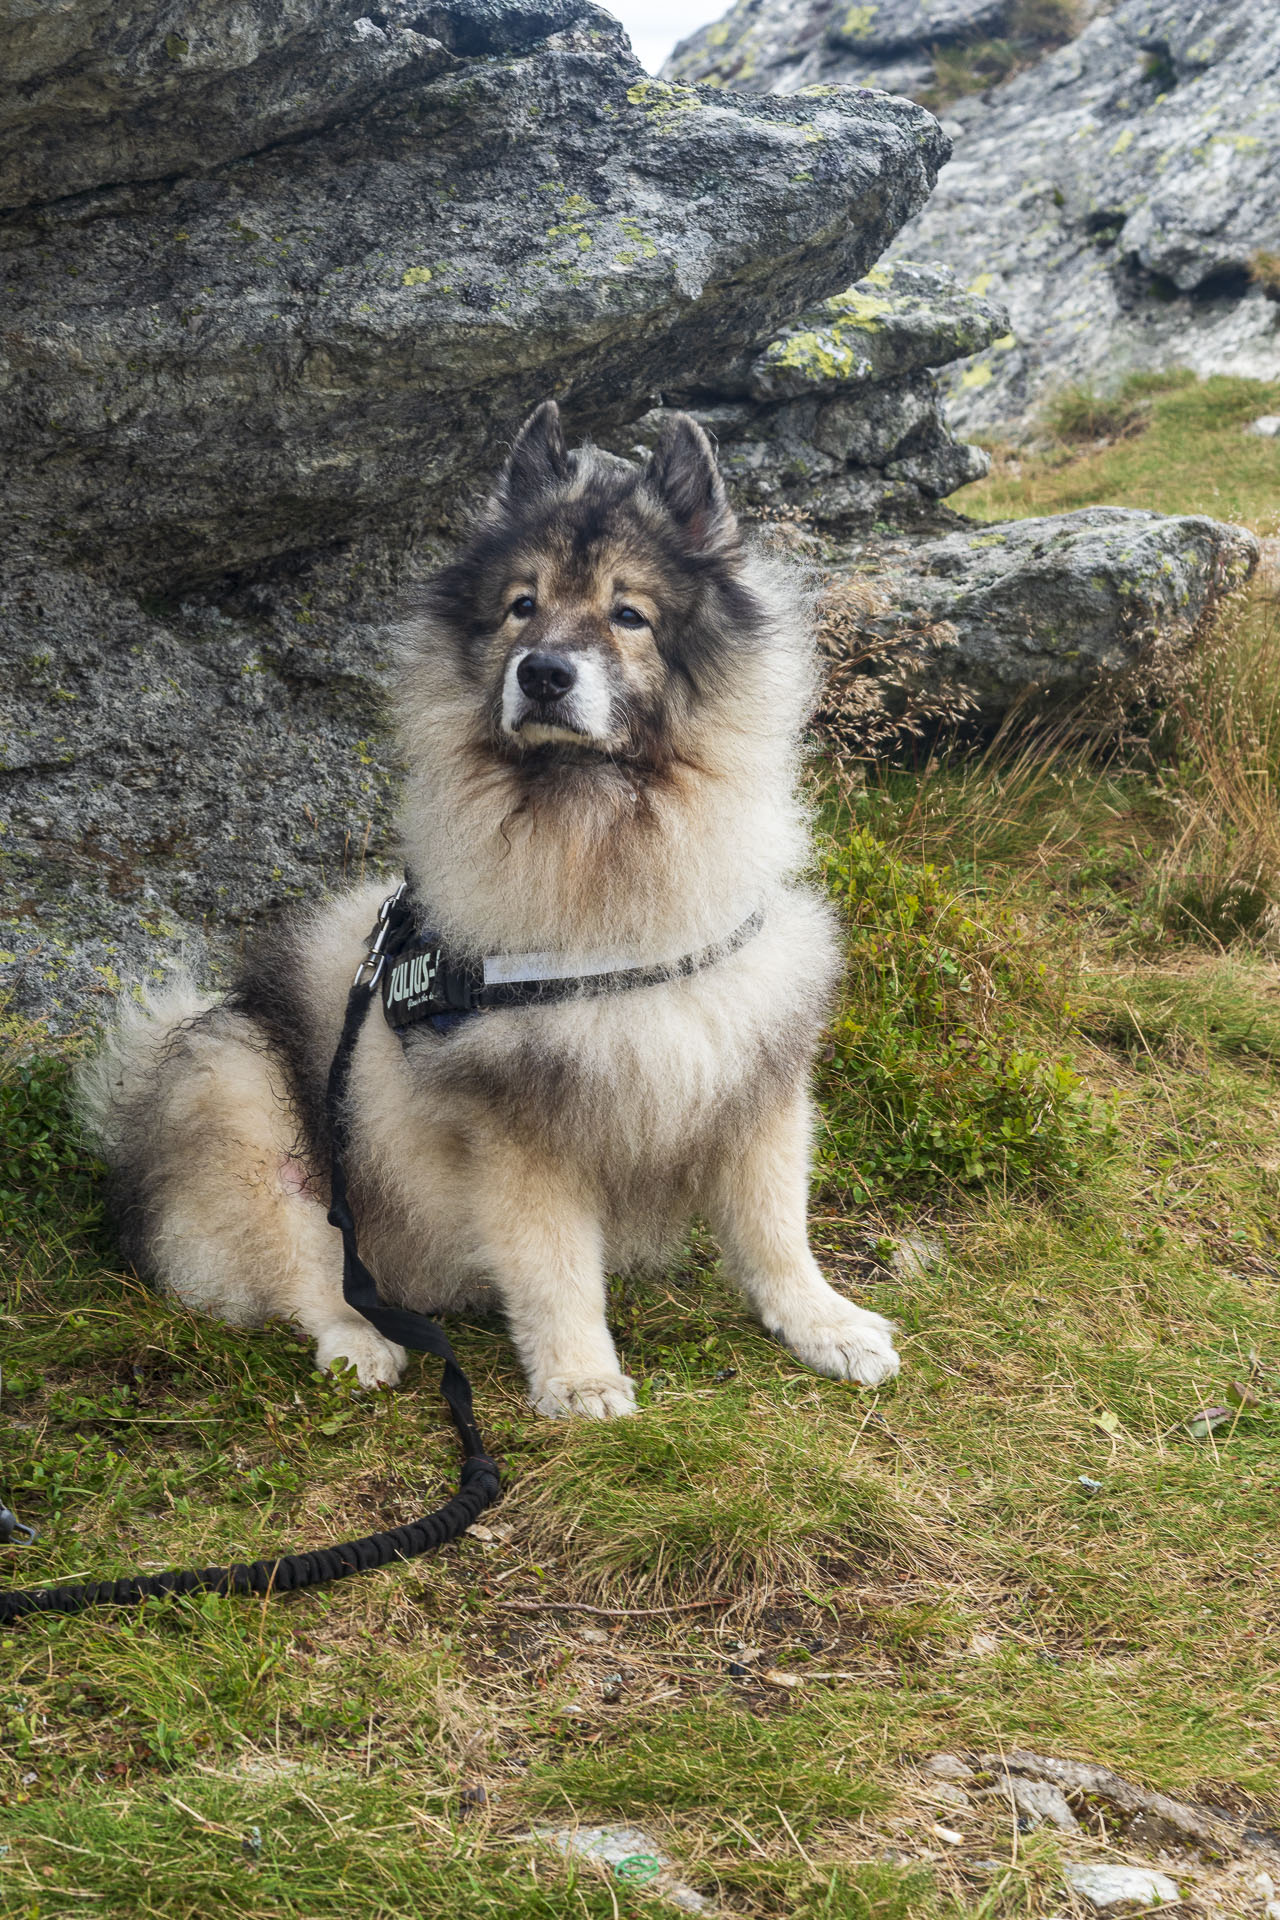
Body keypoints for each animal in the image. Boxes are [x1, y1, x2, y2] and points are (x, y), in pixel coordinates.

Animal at [77, 401, 901, 1413]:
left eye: (628, 613)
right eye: (522, 605)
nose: (543, 672)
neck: (604, 849)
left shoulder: (752, 1077)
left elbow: (778, 1231)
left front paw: (825, 1325)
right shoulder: (519, 1127)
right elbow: (553, 1267)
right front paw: (581, 1379)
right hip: (244, 1102)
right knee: (310, 1275)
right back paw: (362, 1344)